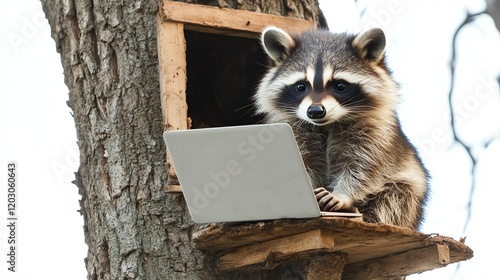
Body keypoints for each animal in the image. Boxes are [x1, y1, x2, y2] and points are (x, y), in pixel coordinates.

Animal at [256, 27, 428, 231]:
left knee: (398, 196)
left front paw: (343, 195)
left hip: (410, 190)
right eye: (300, 86)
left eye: (340, 86)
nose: (315, 111)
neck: (326, 124)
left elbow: (364, 166)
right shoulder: (294, 129)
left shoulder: (376, 131)